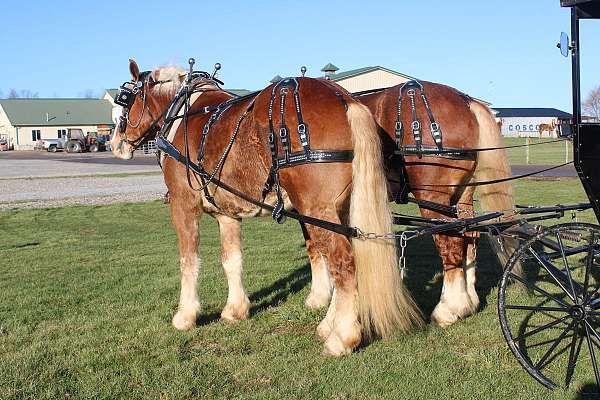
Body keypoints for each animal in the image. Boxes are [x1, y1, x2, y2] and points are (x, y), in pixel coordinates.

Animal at [111, 60, 422, 356]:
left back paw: (342, 338)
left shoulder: (182, 205)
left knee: (344, 263)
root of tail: (345, 99)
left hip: (317, 209)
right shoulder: (227, 214)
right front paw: (235, 310)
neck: (182, 115)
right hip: (340, 210)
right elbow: (231, 260)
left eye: (125, 100)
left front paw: (185, 316)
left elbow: (189, 261)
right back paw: (329, 325)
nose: (115, 144)